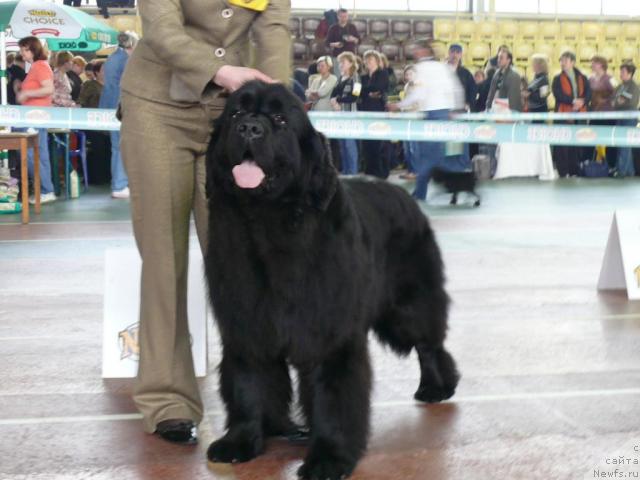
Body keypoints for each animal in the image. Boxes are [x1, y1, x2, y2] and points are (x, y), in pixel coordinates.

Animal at [205, 80, 460, 478]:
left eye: (280, 119)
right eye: (235, 113)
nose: (249, 128)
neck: (269, 223)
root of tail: (403, 194)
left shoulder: (329, 332)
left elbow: (332, 396)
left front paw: (329, 456)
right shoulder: (247, 323)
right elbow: (248, 384)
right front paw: (241, 440)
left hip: (407, 306)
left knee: (429, 342)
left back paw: (437, 386)